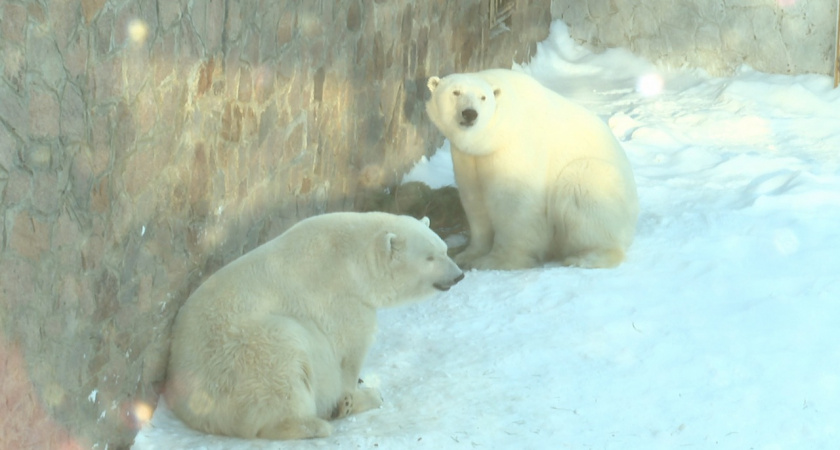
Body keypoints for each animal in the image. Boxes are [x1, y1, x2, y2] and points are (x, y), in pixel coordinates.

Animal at [164, 212, 466, 440]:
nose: (459, 275)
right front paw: (359, 395)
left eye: (444, 249)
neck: (350, 260)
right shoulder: (341, 302)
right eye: (429, 257)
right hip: (244, 355)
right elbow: (347, 353)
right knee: (282, 365)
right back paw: (316, 424)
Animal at [426, 68, 636, 268]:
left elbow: (513, 202)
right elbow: (475, 201)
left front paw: (495, 261)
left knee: (582, 189)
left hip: (599, 181)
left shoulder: (514, 146)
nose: (470, 113)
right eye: (455, 92)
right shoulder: (468, 157)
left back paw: (585, 257)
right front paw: (468, 255)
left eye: (483, 97)